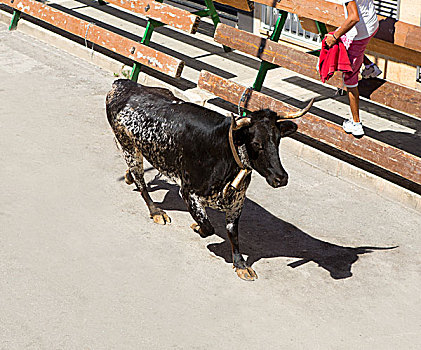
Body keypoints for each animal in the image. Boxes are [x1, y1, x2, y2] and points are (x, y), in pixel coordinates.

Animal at [105, 80, 312, 282]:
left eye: (277, 140)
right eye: (256, 143)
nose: (281, 178)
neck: (224, 153)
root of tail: (121, 84)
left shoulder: (237, 201)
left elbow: (232, 232)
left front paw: (240, 264)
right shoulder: (188, 192)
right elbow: (208, 226)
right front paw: (198, 228)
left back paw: (129, 177)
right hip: (129, 148)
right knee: (141, 181)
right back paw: (156, 211)